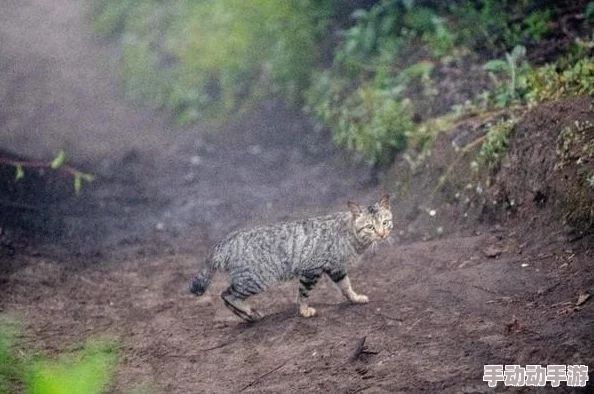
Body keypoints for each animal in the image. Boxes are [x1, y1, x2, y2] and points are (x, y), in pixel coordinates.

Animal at [191, 193, 394, 320]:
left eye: (385, 223)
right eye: (370, 227)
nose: (382, 234)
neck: (351, 236)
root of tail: (227, 240)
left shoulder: (337, 268)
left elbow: (346, 286)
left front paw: (355, 298)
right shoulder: (312, 269)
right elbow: (303, 293)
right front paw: (304, 310)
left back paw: (249, 315)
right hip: (255, 280)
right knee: (227, 295)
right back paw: (249, 313)